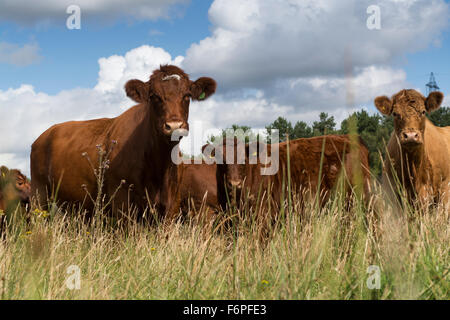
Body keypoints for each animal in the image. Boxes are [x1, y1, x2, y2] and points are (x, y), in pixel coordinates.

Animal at [30, 65, 216, 220]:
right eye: (154, 96)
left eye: (187, 95)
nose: (174, 125)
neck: (159, 166)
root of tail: (46, 133)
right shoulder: (122, 202)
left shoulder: (172, 204)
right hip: (39, 194)